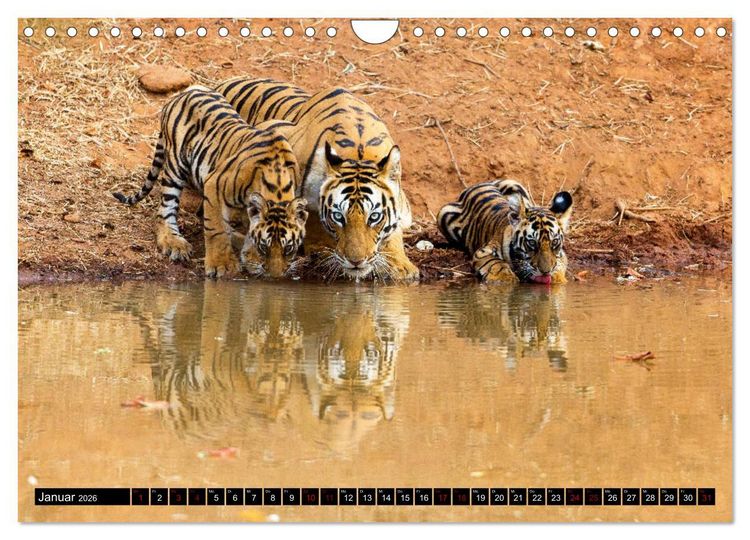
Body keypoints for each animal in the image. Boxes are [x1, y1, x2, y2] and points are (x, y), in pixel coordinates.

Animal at [112, 85, 308, 279]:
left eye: (288, 248)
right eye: (265, 247)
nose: (276, 276)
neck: (277, 187)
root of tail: (184, 92)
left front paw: (250, 259)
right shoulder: (214, 185)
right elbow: (216, 229)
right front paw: (222, 265)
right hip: (175, 165)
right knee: (164, 211)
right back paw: (174, 242)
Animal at [215, 77, 419, 282]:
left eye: (374, 217)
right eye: (338, 217)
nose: (356, 262)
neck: (358, 151)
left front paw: (401, 265)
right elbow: (311, 218)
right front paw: (319, 250)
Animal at [437, 179, 573, 284]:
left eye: (554, 242)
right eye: (532, 243)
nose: (546, 272)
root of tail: (483, 183)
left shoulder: (562, 255)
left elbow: (559, 263)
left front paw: (557, 278)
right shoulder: (483, 252)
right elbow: (496, 264)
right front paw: (506, 279)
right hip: (443, 214)